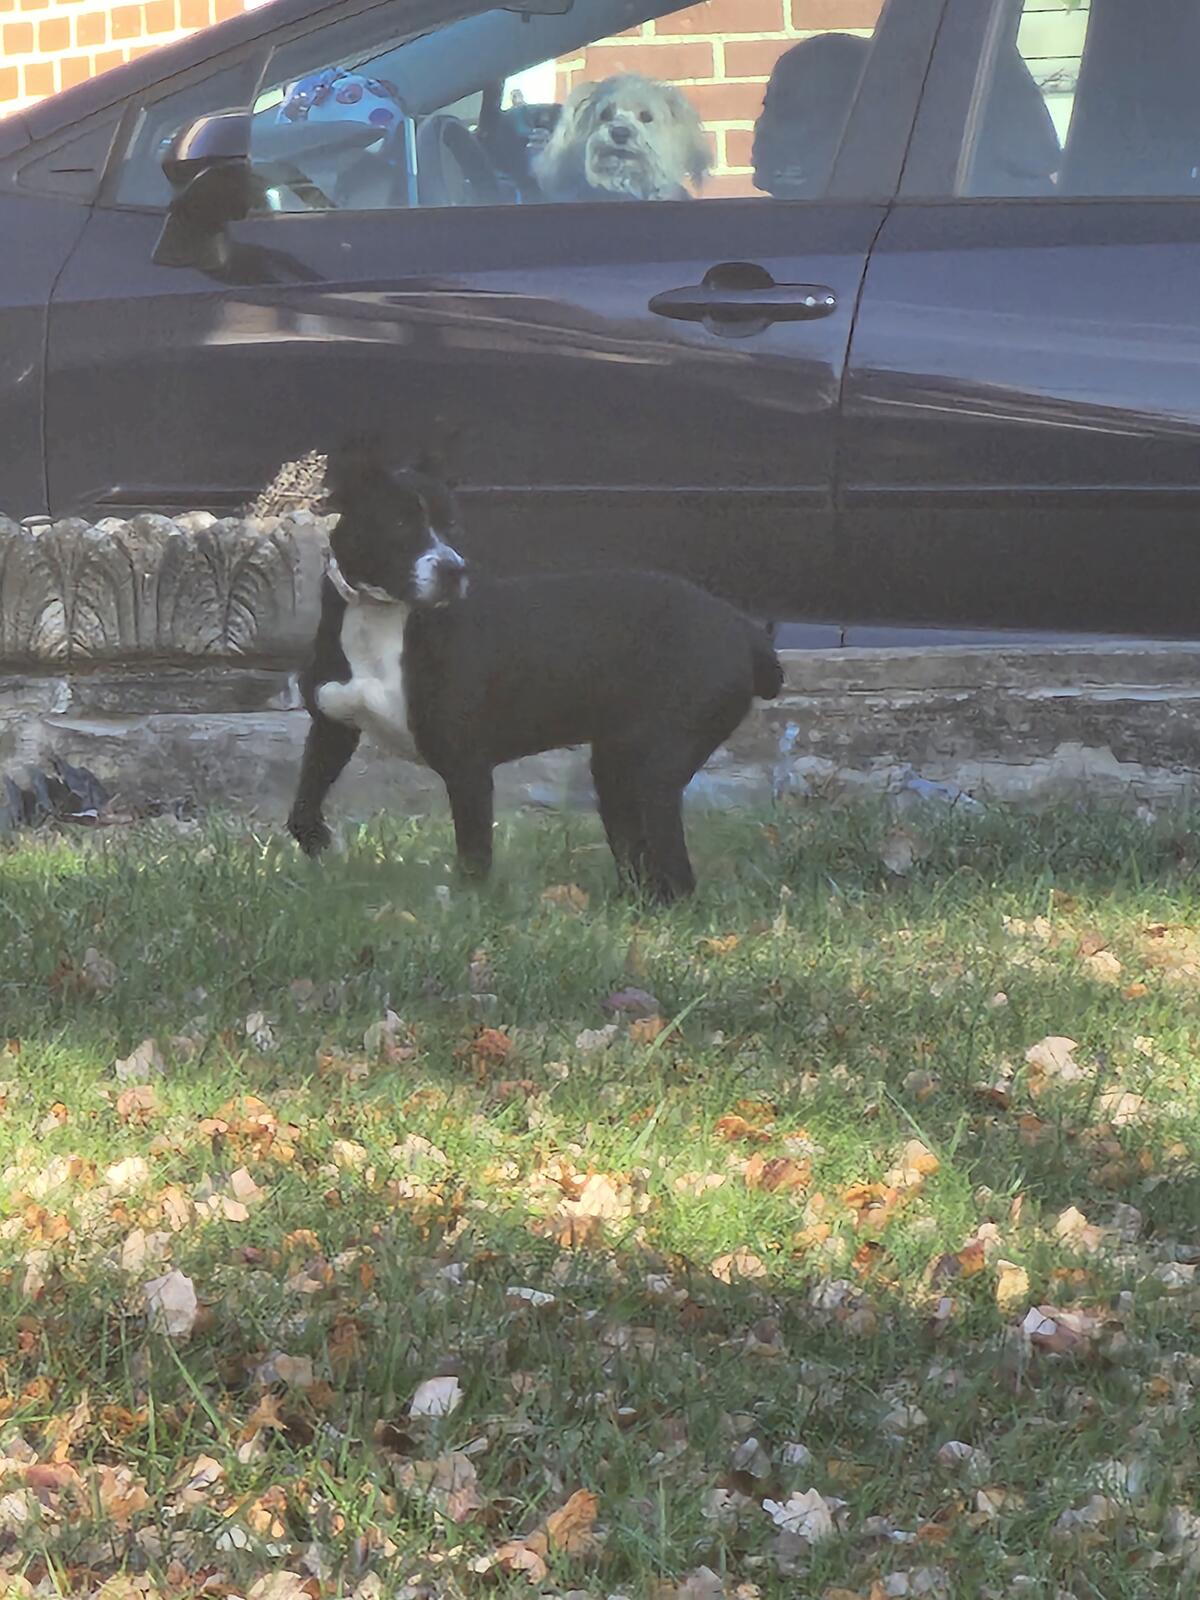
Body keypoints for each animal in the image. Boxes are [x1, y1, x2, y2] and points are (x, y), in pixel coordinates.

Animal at [286, 441, 784, 902]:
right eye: (400, 524)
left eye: (453, 525)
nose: (453, 569)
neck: (382, 616)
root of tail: (741, 626)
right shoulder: (331, 726)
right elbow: (300, 808)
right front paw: (319, 840)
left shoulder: (467, 765)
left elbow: (474, 856)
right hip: (617, 766)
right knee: (637, 851)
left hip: (657, 766)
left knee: (675, 870)